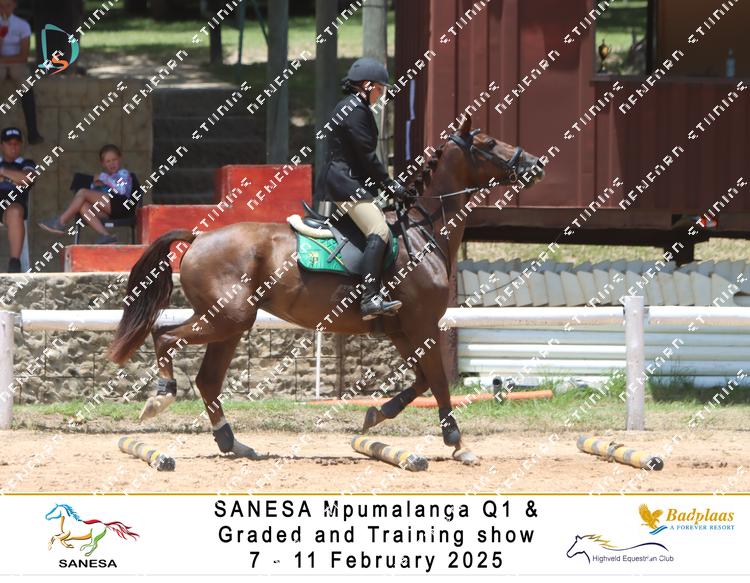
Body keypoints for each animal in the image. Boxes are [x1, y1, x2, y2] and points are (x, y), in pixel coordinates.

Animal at [108, 116, 546, 464]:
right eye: (488, 143)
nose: (536, 163)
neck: (424, 229)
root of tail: (198, 237)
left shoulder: (403, 330)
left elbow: (422, 381)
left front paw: (375, 415)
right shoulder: (423, 325)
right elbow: (437, 381)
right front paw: (457, 443)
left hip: (229, 324)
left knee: (207, 380)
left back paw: (233, 443)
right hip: (228, 318)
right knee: (165, 336)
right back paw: (161, 397)